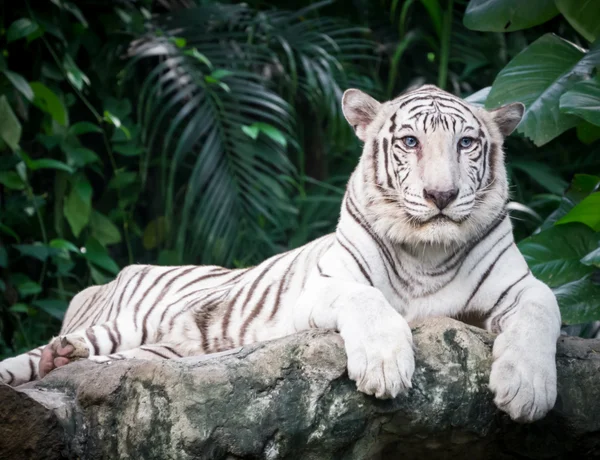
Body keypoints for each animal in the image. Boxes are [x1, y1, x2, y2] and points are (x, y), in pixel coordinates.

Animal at [1, 84, 564, 422]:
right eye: (409, 142)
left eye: (467, 143)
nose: (441, 196)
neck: (425, 251)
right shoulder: (318, 288)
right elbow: (366, 300)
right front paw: (384, 366)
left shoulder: (520, 286)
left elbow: (545, 309)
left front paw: (528, 389)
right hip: (129, 318)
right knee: (47, 354)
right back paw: (57, 355)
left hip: (158, 349)